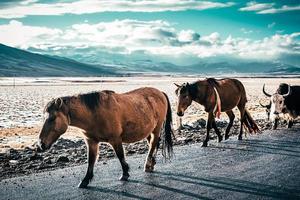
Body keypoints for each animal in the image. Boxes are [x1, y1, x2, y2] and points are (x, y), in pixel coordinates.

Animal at [37, 87, 173, 188]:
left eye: (52, 118)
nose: (41, 144)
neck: (93, 114)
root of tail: (160, 93)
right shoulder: (91, 142)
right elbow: (90, 160)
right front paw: (85, 180)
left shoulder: (115, 139)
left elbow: (120, 156)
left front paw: (125, 174)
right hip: (148, 131)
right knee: (152, 144)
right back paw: (151, 164)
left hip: (156, 129)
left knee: (153, 143)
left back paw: (148, 165)